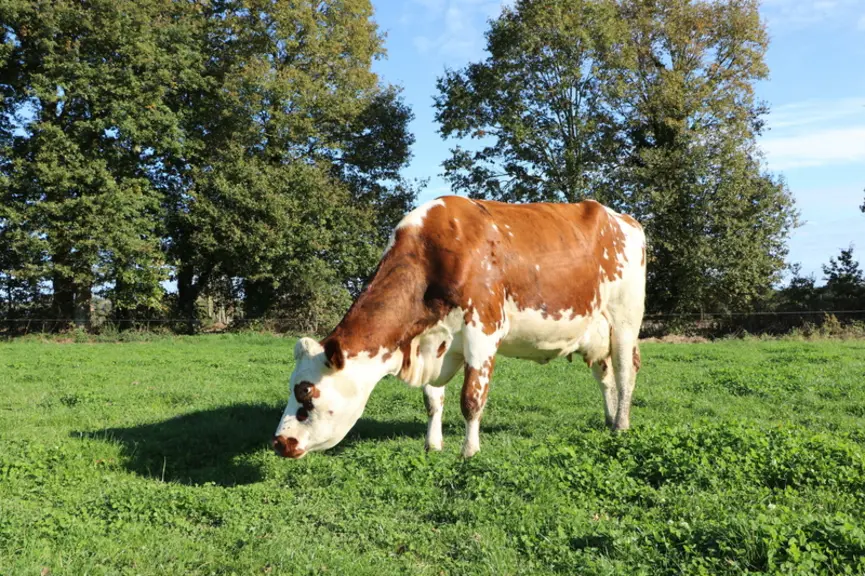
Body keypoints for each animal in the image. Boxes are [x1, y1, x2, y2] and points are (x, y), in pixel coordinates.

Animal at [273, 195, 646, 459]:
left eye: (306, 393)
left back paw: (622, 427)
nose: (280, 442)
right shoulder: (435, 340)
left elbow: (471, 398)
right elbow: (432, 399)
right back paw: (609, 420)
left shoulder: (483, 330)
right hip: (596, 332)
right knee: (605, 377)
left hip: (625, 321)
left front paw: (469, 452)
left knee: (625, 373)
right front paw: (432, 445)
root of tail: (621, 218)